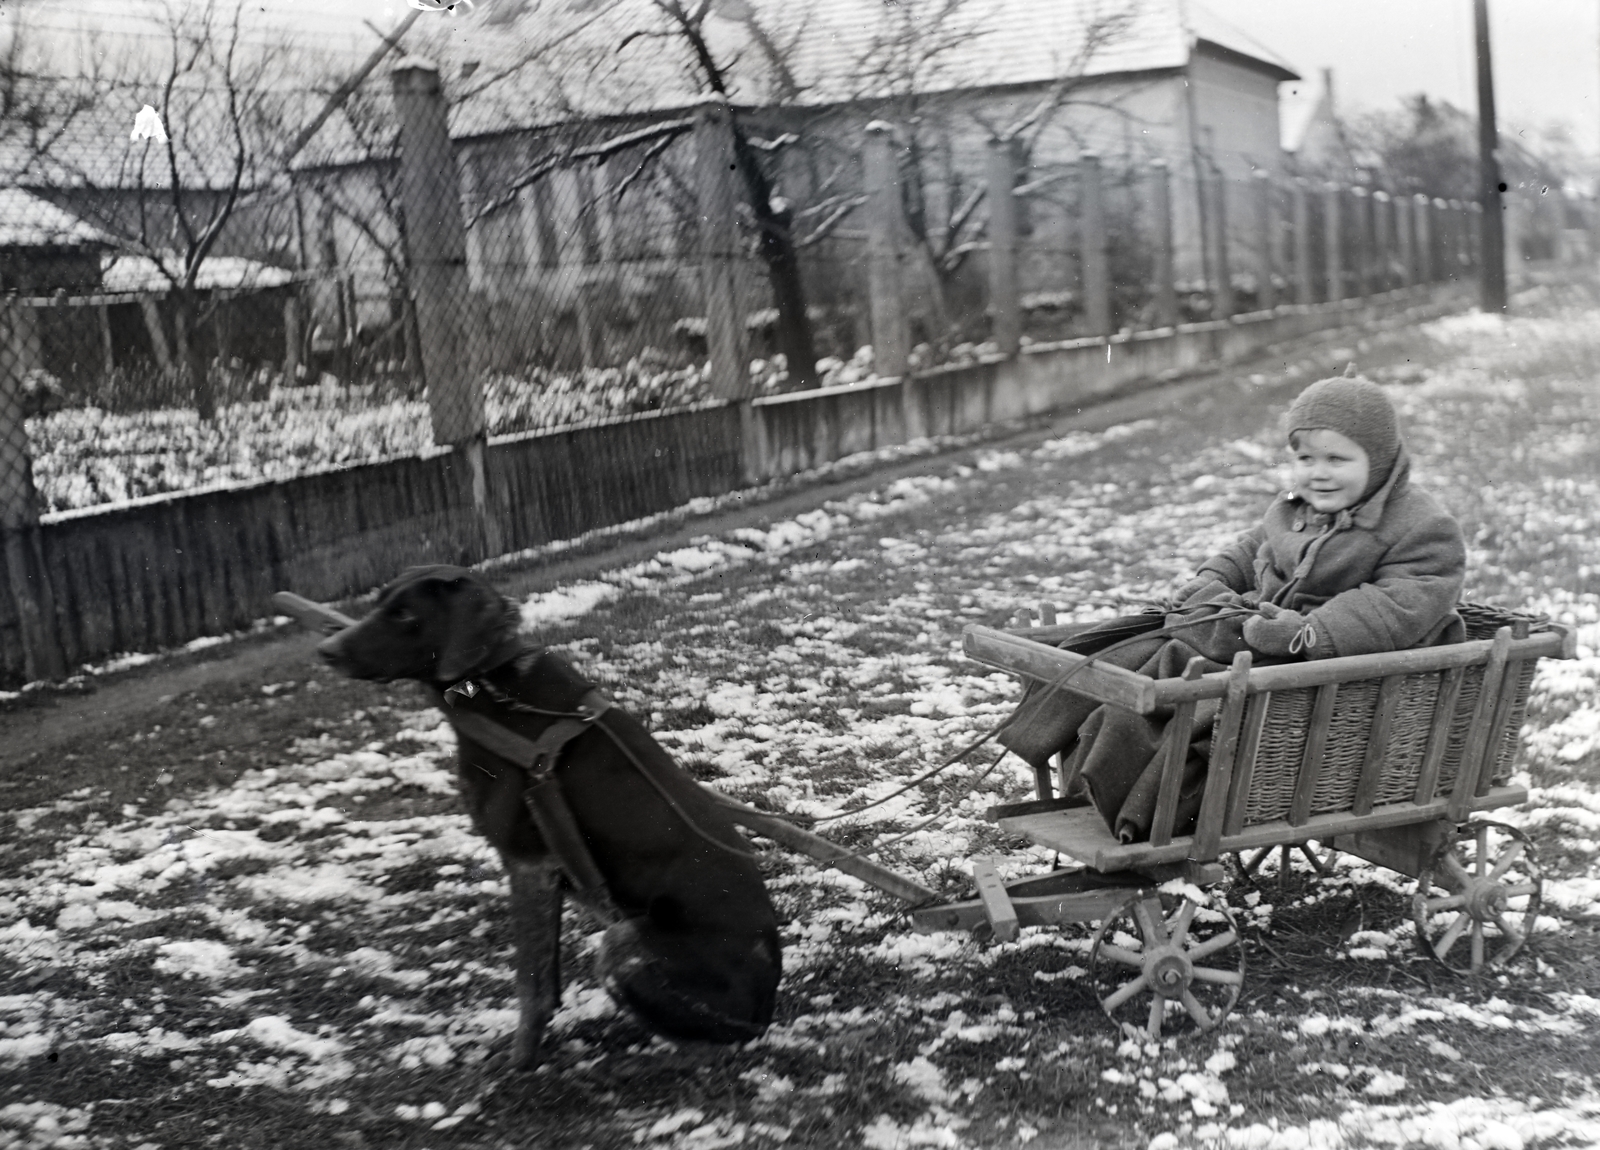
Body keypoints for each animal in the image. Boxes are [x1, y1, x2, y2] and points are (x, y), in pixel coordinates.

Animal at [316, 566, 780, 1068]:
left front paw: (518, 1062)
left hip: (623, 944)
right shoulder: (548, 872)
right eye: (380, 603)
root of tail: (766, 1008)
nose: (325, 650)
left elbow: (529, 983)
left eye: (404, 614)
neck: (491, 687)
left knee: (714, 1041)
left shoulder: (527, 863)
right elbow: (547, 974)